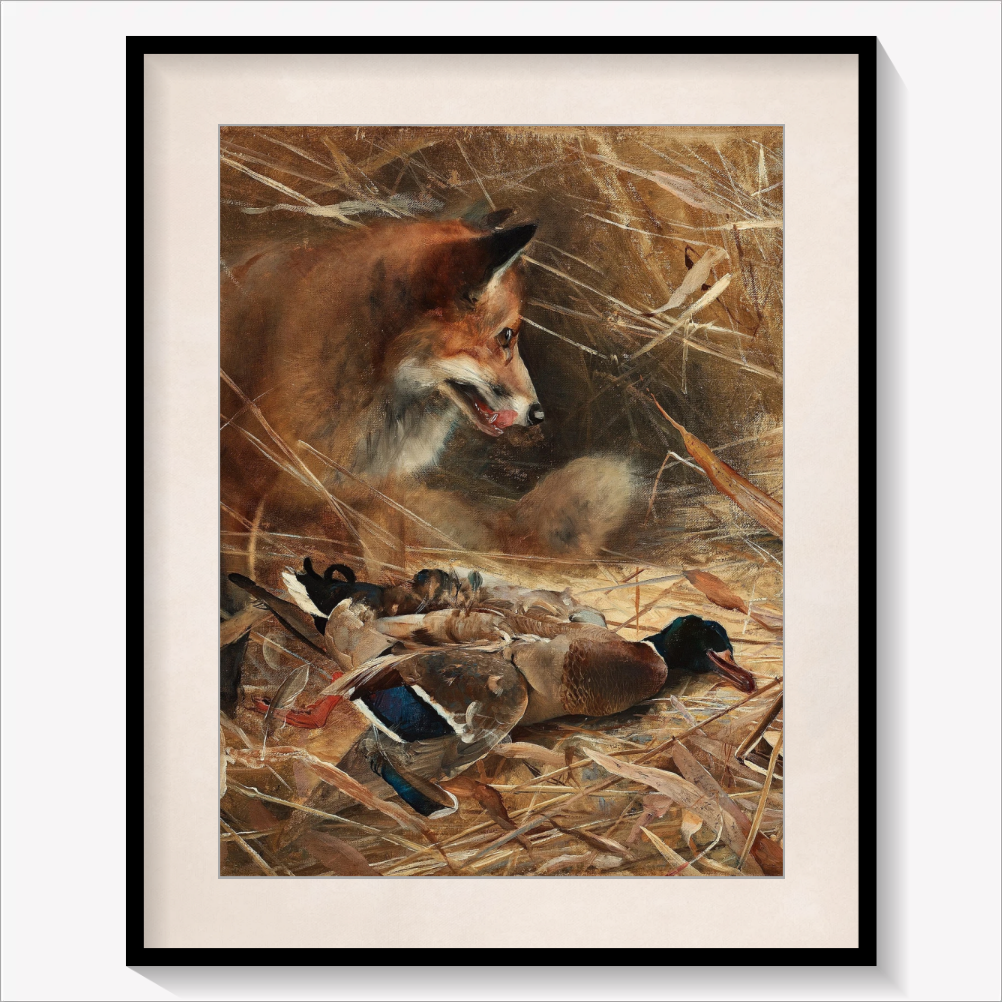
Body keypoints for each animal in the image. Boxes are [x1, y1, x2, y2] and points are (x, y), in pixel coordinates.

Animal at [220, 212, 638, 580]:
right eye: (506, 336)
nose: (538, 414)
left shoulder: (380, 493)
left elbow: (387, 573)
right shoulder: (239, 483)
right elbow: (238, 573)